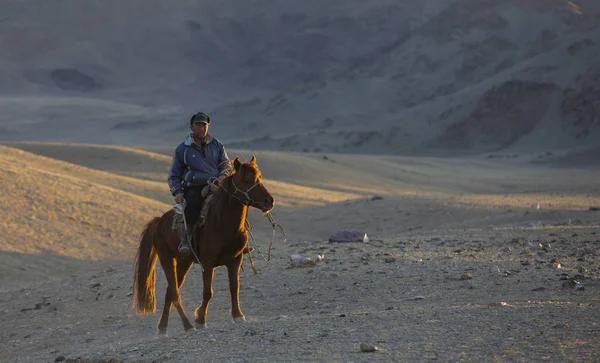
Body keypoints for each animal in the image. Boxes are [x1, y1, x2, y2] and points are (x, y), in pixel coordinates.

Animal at [132, 155, 276, 336]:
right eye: (246, 180)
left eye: (260, 178)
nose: (269, 201)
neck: (223, 223)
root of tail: (159, 221)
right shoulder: (207, 264)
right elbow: (208, 292)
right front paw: (200, 319)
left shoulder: (235, 261)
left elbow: (234, 288)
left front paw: (238, 316)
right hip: (167, 259)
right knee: (174, 292)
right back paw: (188, 325)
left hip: (184, 262)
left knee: (169, 292)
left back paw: (163, 328)